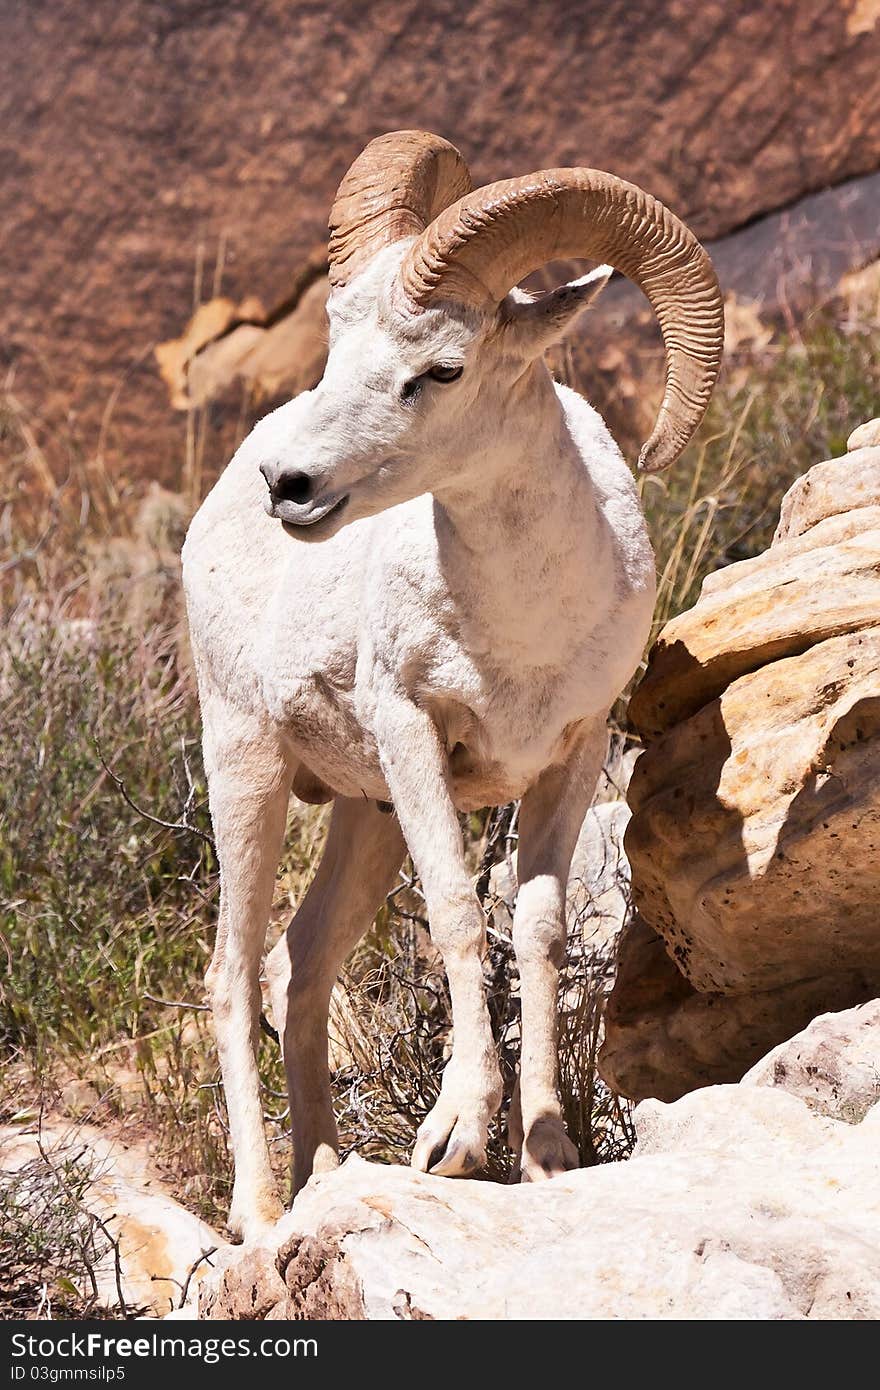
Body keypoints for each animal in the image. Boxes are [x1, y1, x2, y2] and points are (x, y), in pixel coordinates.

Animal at [180, 130, 722, 1239]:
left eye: (441, 369)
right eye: (338, 348)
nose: (291, 486)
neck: (517, 627)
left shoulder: (569, 757)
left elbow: (539, 930)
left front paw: (550, 1156)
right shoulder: (414, 734)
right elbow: (460, 917)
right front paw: (458, 1142)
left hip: (362, 813)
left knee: (299, 964)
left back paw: (327, 1168)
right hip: (247, 766)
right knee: (231, 975)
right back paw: (260, 1214)